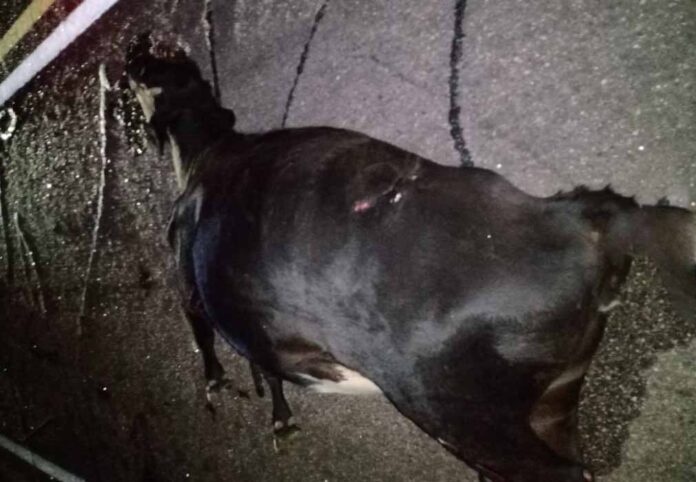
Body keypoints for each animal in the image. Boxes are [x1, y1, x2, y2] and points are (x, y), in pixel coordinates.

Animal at [124, 34, 695, 482]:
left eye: (152, 64)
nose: (137, 44)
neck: (209, 150)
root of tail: (582, 223)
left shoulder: (192, 284)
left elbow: (215, 346)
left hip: (463, 419)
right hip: (552, 398)